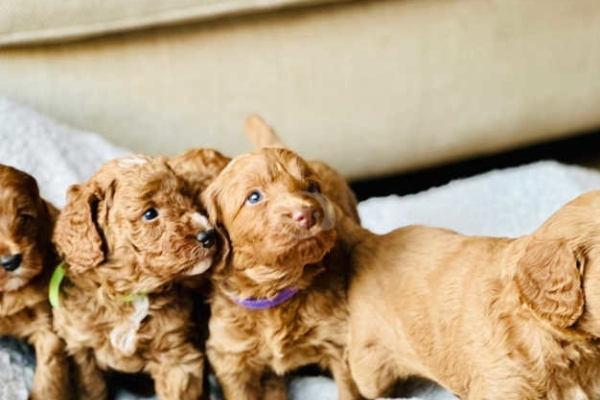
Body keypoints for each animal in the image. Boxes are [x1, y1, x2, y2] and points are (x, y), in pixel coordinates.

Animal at [52, 154, 223, 400]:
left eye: (188, 198)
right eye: (150, 214)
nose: (208, 235)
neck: (131, 295)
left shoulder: (177, 357)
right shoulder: (82, 349)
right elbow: (91, 390)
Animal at [200, 146, 360, 400]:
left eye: (312, 188)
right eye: (254, 197)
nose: (308, 213)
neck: (275, 289)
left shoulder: (338, 338)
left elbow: (350, 388)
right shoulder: (231, 357)